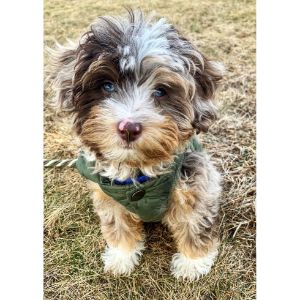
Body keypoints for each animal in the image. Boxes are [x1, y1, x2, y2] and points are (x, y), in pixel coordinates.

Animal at [48, 9, 224, 282]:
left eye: (161, 91)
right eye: (107, 86)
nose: (128, 127)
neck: (138, 171)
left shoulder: (194, 185)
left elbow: (193, 223)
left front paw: (193, 263)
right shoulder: (108, 196)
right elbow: (118, 226)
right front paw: (122, 256)